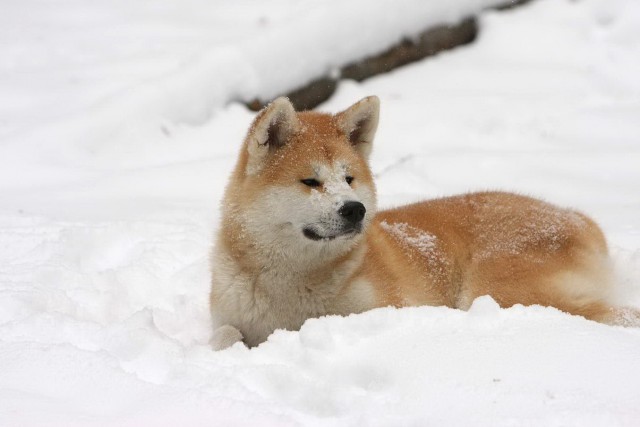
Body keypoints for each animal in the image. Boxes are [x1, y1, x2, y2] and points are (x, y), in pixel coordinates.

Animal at [209, 95, 636, 350]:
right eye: (310, 181)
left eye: (349, 179)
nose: (355, 209)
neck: (290, 286)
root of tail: (581, 219)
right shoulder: (230, 318)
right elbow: (225, 336)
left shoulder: (392, 307)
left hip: (495, 290)